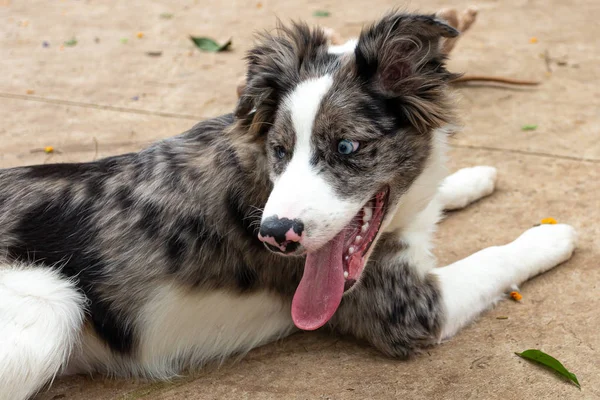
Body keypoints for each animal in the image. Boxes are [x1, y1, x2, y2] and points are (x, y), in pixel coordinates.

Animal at [0, 10, 576, 398]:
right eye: (280, 150)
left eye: (347, 147)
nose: (275, 235)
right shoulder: (407, 308)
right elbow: (496, 258)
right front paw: (552, 234)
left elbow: (438, 195)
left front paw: (472, 178)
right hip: (54, 302)